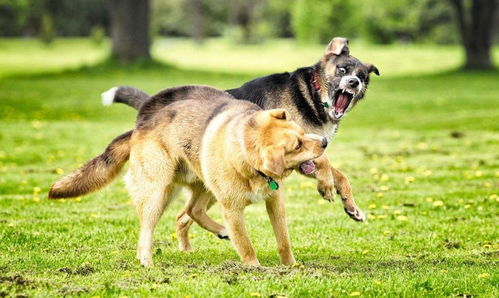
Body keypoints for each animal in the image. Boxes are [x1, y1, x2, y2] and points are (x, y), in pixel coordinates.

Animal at [48, 85, 326, 266]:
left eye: (302, 132)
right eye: (297, 146)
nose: (323, 142)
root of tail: (140, 126)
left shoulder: (275, 202)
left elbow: (283, 239)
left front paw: (291, 266)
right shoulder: (232, 209)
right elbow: (245, 244)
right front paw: (254, 268)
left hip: (205, 185)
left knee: (191, 211)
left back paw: (217, 232)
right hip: (158, 193)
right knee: (147, 229)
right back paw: (146, 261)